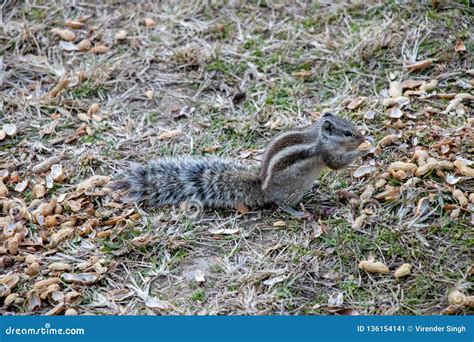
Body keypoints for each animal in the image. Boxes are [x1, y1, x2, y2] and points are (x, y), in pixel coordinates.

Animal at [110, 113, 366, 218]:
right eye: (347, 133)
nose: (362, 137)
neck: (319, 135)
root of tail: (262, 188)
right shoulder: (326, 153)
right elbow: (337, 164)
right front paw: (364, 150)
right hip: (293, 187)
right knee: (280, 203)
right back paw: (298, 213)